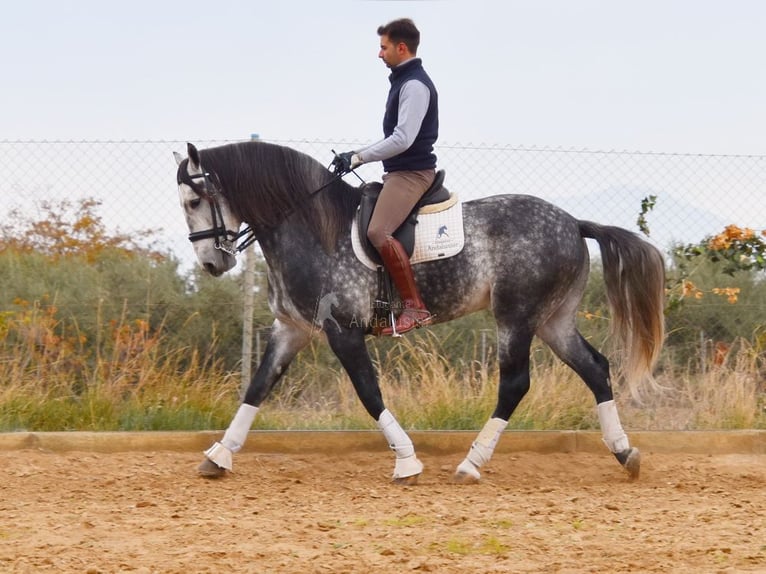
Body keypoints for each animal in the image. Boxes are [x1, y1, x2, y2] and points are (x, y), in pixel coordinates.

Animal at [174, 141, 664, 486]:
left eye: (194, 201)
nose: (212, 264)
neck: (311, 227)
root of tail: (574, 223)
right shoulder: (290, 329)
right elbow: (258, 386)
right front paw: (218, 455)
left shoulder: (342, 330)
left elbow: (369, 392)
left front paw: (407, 461)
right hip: (552, 320)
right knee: (595, 368)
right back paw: (625, 454)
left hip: (517, 316)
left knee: (515, 384)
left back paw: (471, 463)